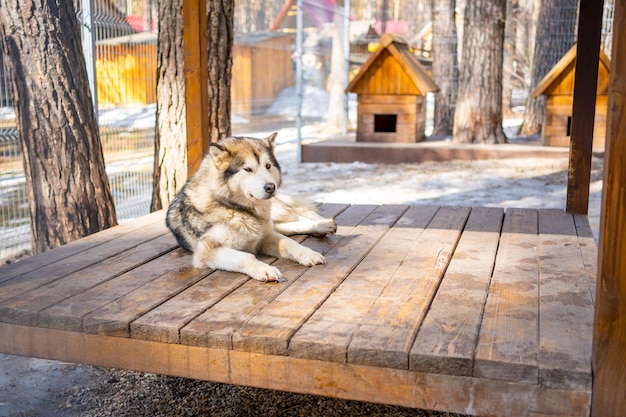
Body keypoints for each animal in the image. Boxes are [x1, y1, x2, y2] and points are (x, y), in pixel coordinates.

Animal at [163, 133, 334, 282]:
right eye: (248, 169)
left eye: (268, 166)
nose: (271, 187)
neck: (235, 208)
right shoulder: (207, 251)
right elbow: (246, 256)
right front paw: (264, 269)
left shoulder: (265, 238)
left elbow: (290, 243)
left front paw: (308, 254)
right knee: (291, 224)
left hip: (277, 213)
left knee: (298, 215)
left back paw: (323, 224)